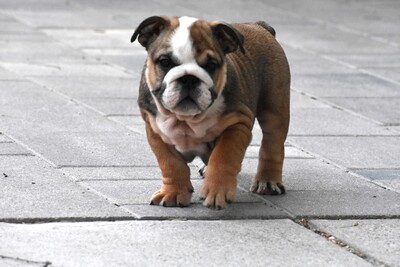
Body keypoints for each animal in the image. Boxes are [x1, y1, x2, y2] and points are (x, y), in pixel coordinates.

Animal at [132, 15, 290, 210]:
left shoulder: (237, 124)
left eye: (211, 65)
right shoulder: (155, 131)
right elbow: (170, 163)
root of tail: (258, 25)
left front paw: (217, 191)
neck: (186, 119)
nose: (188, 78)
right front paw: (174, 192)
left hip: (274, 108)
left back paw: (267, 181)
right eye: (164, 62)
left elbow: (223, 156)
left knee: (272, 144)